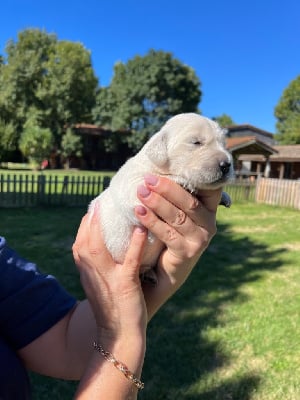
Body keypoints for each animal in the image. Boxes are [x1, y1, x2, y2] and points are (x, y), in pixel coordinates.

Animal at [90, 114, 233, 280]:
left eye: (223, 144)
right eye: (196, 142)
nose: (226, 165)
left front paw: (225, 196)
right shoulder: (133, 185)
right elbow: (154, 180)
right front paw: (182, 181)